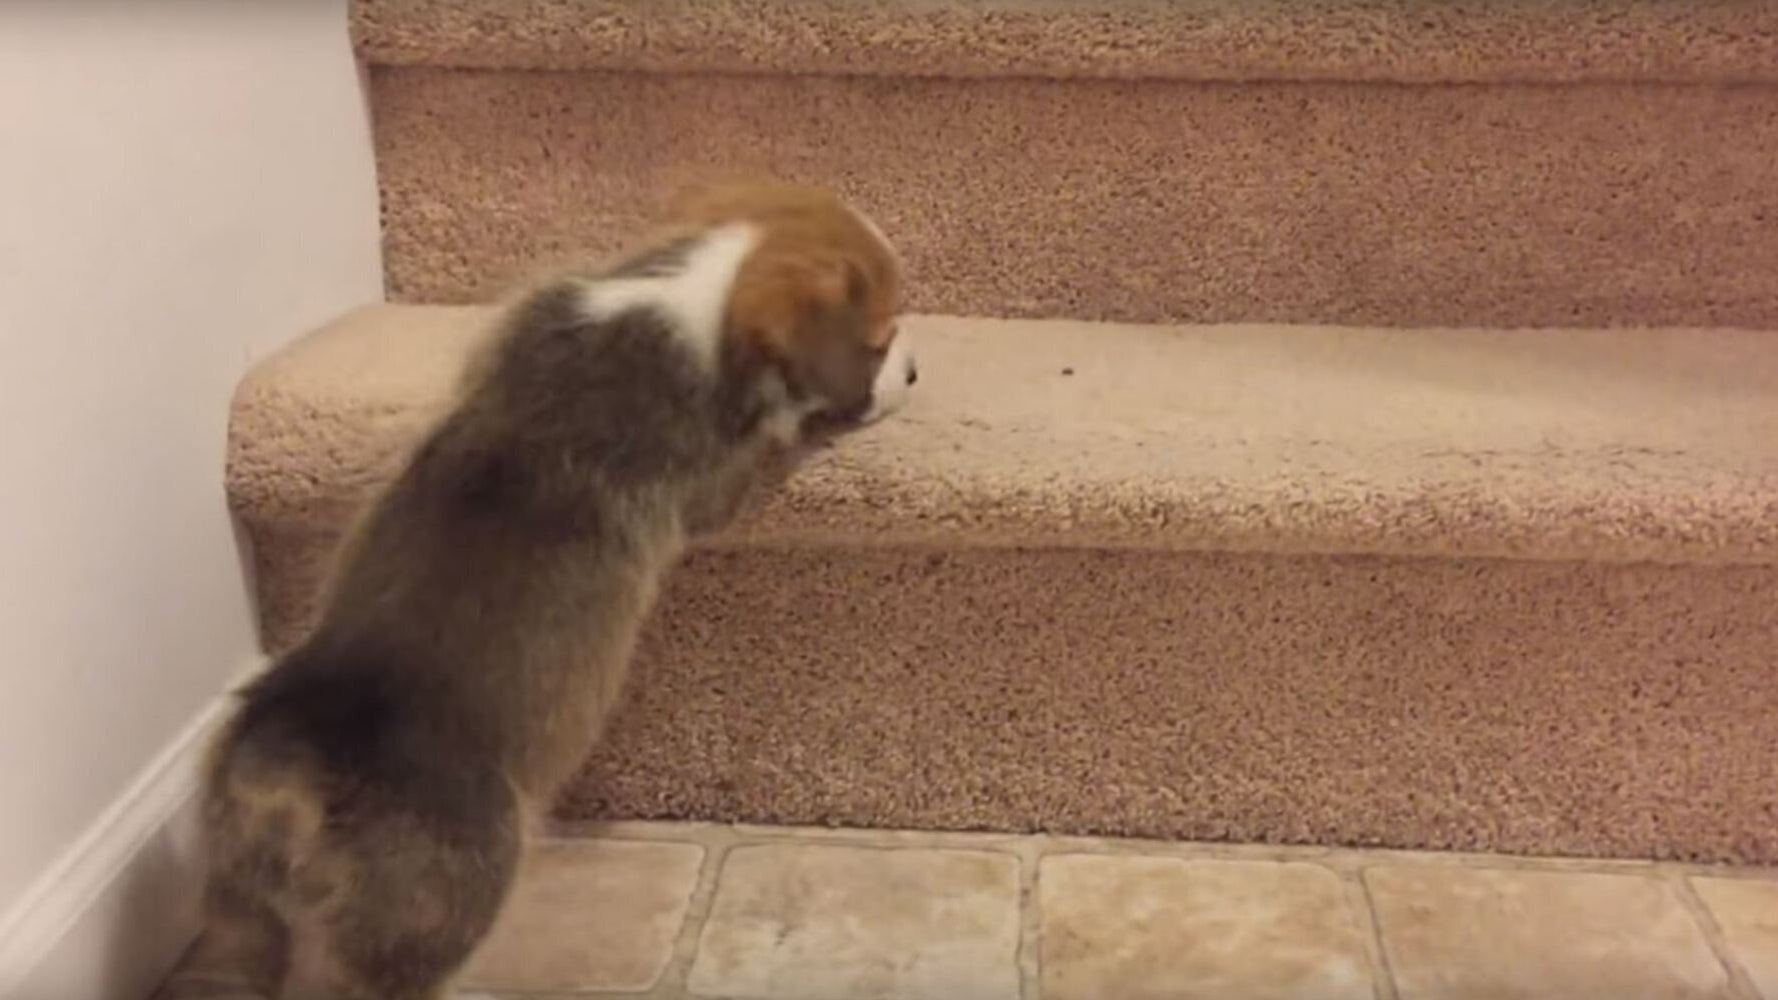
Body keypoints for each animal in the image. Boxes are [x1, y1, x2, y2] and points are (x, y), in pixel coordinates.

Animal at [161, 178, 917, 996]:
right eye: (880, 339)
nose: (913, 371)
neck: (698, 301)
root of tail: (292, 763)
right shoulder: (715, 481)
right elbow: (770, 439)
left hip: (239, 915)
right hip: (449, 899)